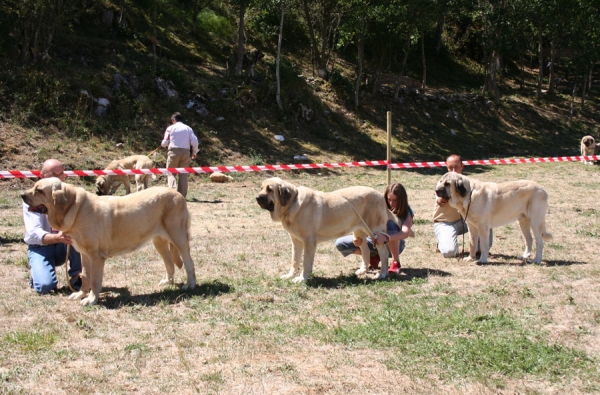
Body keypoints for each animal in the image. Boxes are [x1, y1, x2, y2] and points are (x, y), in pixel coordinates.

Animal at [21, 179, 197, 306]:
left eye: (39, 190)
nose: (22, 195)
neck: (75, 209)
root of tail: (178, 194)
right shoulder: (84, 255)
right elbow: (85, 276)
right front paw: (81, 294)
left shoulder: (96, 256)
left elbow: (94, 280)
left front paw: (91, 299)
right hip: (159, 241)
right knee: (169, 263)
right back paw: (167, 281)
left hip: (179, 238)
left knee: (189, 262)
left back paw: (190, 285)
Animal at [254, 178, 392, 284]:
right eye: (261, 188)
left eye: (270, 189)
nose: (257, 197)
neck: (292, 203)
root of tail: (380, 195)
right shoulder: (296, 242)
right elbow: (294, 261)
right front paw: (290, 275)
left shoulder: (309, 243)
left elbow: (305, 263)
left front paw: (302, 279)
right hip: (359, 233)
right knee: (366, 250)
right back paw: (363, 270)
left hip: (375, 233)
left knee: (384, 253)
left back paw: (382, 274)